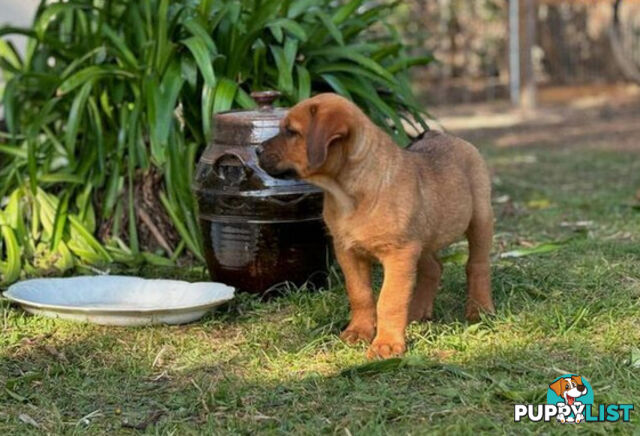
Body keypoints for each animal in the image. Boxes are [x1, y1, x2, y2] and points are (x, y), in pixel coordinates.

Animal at [256, 93, 496, 360]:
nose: (256, 150)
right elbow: (360, 294)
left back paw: (479, 310)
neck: (346, 194)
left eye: (291, 132)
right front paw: (358, 332)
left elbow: (389, 301)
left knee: (477, 266)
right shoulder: (349, 252)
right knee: (433, 268)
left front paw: (387, 344)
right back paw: (417, 314)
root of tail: (438, 134)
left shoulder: (399, 254)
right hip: (422, 238)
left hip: (480, 219)